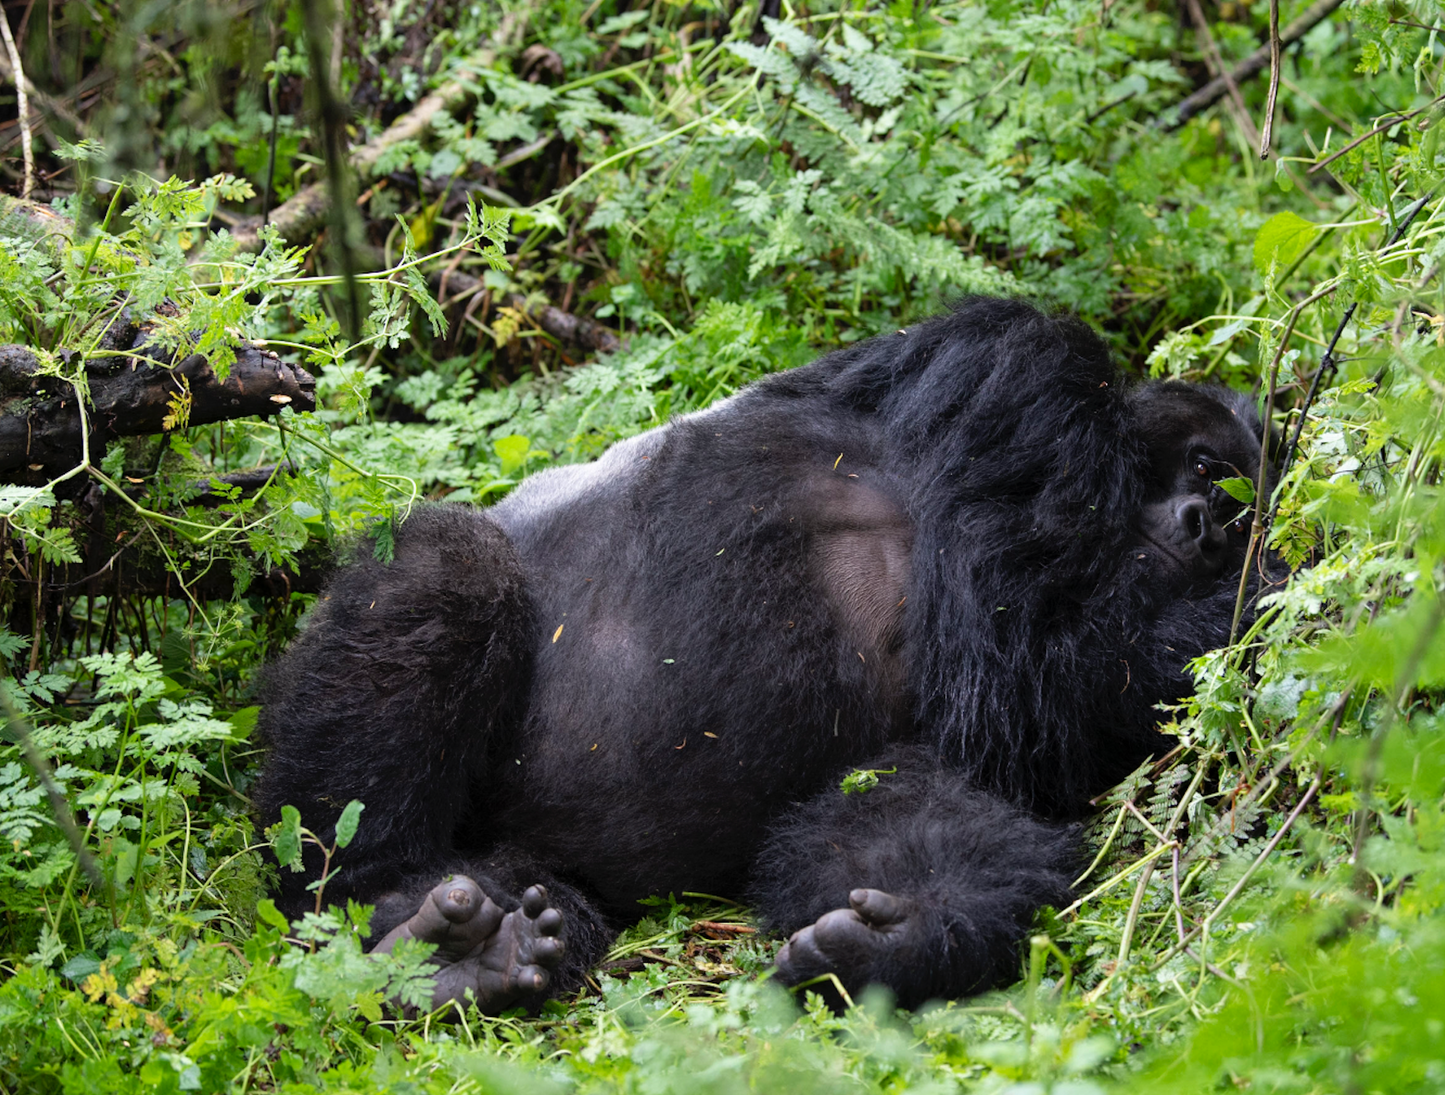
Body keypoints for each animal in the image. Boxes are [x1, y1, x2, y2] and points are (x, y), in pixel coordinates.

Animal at [254, 296, 1271, 1016]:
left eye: (1234, 510)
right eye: (1205, 475)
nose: (1203, 526)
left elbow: (973, 758)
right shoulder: (1023, 374)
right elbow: (1023, 667)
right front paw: (1249, 595)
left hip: (532, 860)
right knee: (448, 571)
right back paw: (385, 903)